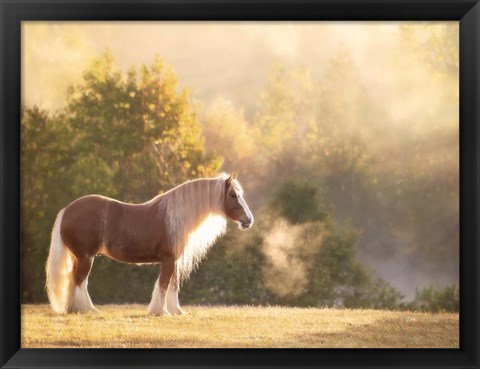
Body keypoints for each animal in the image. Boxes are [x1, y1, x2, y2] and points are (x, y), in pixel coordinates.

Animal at [45, 172, 253, 314]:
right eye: (233, 195)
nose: (248, 221)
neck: (176, 217)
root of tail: (67, 210)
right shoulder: (168, 260)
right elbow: (163, 284)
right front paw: (160, 311)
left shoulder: (174, 261)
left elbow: (173, 285)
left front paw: (176, 311)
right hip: (86, 257)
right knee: (80, 281)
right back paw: (88, 310)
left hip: (79, 257)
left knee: (75, 280)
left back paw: (74, 309)